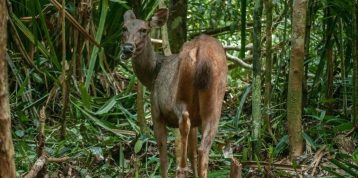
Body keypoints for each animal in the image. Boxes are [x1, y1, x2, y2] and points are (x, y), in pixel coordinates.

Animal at [120, 8, 227, 178]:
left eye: (144, 30)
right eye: (124, 28)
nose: (128, 48)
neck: (152, 76)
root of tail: (200, 53)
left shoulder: (156, 111)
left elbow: (162, 155)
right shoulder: (196, 119)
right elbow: (192, 152)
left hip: (178, 97)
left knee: (184, 122)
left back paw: (181, 168)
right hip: (214, 102)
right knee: (203, 149)